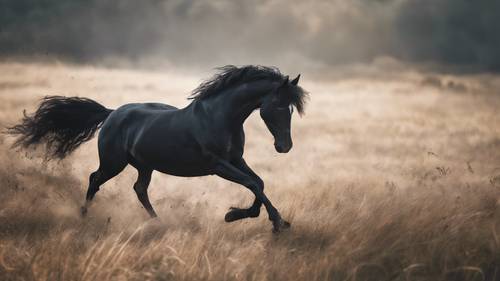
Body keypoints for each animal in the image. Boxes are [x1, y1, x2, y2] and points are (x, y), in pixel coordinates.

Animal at [8, 65, 308, 232]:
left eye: (292, 108)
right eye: (278, 106)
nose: (284, 147)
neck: (221, 117)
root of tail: (112, 113)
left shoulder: (236, 160)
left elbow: (259, 182)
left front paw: (247, 216)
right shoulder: (217, 165)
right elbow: (252, 183)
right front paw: (269, 221)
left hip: (145, 166)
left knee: (139, 189)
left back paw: (158, 221)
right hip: (113, 163)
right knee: (95, 179)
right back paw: (83, 215)